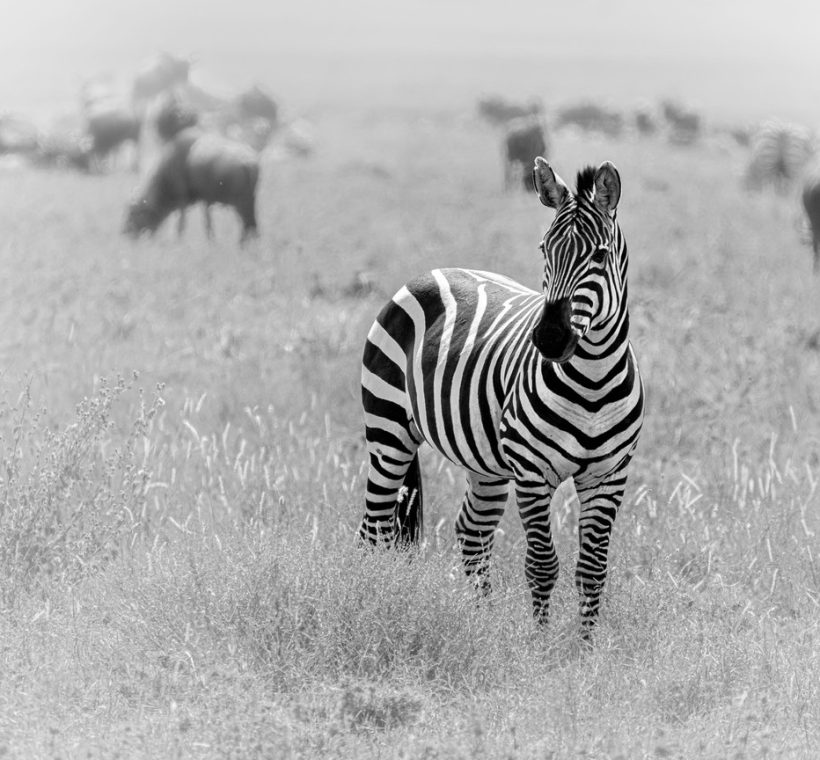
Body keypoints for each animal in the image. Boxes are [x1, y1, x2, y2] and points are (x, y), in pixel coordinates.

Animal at [358, 158, 645, 638]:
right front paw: (541, 647)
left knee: (471, 531)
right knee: (373, 527)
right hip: (388, 430)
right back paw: (367, 602)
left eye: (599, 256)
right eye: (544, 250)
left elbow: (592, 570)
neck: (592, 381)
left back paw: (480, 622)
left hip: (485, 463)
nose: (549, 338)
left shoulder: (608, 477)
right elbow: (542, 565)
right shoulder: (531, 472)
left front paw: (584, 650)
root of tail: (436, 270)